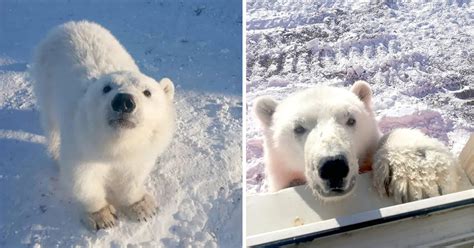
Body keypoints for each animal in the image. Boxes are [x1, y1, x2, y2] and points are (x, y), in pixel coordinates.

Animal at [31, 20, 176, 230]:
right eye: (106, 88)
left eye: (147, 92)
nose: (123, 101)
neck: (115, 145)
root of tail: (68, 25)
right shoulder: (82, 144)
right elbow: (83, 179)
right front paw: (102, 216)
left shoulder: (141, 150)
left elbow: (133, 175)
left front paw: (142, 206)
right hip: (46, 83)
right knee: (51, 125)